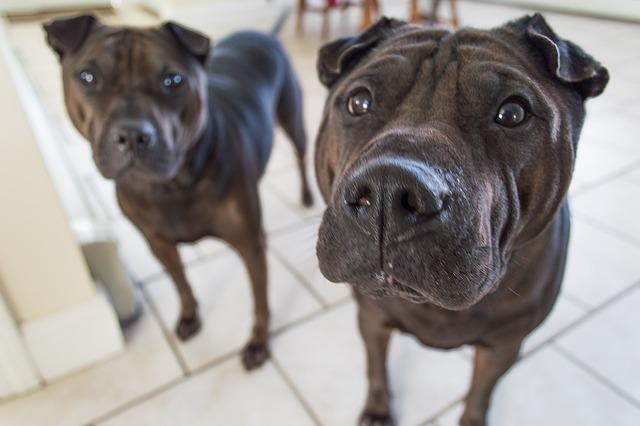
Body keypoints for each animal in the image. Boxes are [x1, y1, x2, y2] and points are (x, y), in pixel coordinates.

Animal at [43, 14, 314, 370]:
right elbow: (181, 283)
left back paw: (308, 195)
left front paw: (258, 342)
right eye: (88, 77)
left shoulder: (250, 245)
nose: (132, 135)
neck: (170, 187)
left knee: (300, 156)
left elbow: (260, 302)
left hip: (292, 118)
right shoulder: (158, 244)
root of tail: (263, 35)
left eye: (173, 80)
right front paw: (189, 316)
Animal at [316, 13, 608, 426]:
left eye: (513, 113)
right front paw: (376, 410)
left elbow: (480, 393)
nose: (388, 190)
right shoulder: (372, 318)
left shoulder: (503, 346)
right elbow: (375, 366)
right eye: (359, 101)